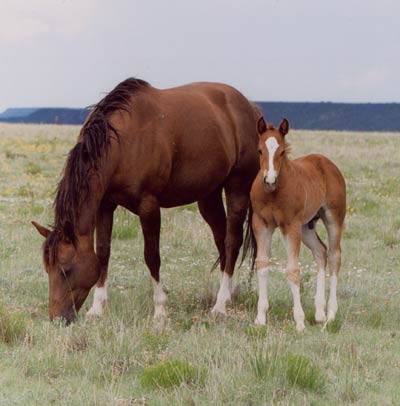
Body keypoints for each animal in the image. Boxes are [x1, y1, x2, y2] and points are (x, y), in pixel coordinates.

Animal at [32, 77, 260, 322]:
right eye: (47, 268)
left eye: (65, 270)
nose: (57, 319)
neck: (122, 143)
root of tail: (249, 107)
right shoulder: (105, 206)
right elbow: (103, 253)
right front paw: (98, 307)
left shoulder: (149, 206)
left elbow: (152, 256)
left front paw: (160, 310)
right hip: (209, 195)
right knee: (221, 241)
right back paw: (228, 294)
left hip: (237, 187)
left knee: (232, 241)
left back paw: (220, 304)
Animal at [250, 116, 346, 330]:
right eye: (259, 150)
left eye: (282, 151)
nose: (269, 180)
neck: (274, 194)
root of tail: (326, 162)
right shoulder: (261, 224)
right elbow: (262, 264)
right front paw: (260, 318)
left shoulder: (290, 226)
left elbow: (293, 271)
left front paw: (300, 322)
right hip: (307, 226)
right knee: (321, 252)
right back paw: (319, 313)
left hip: (334, 218)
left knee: (334, 256)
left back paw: (331, 314)